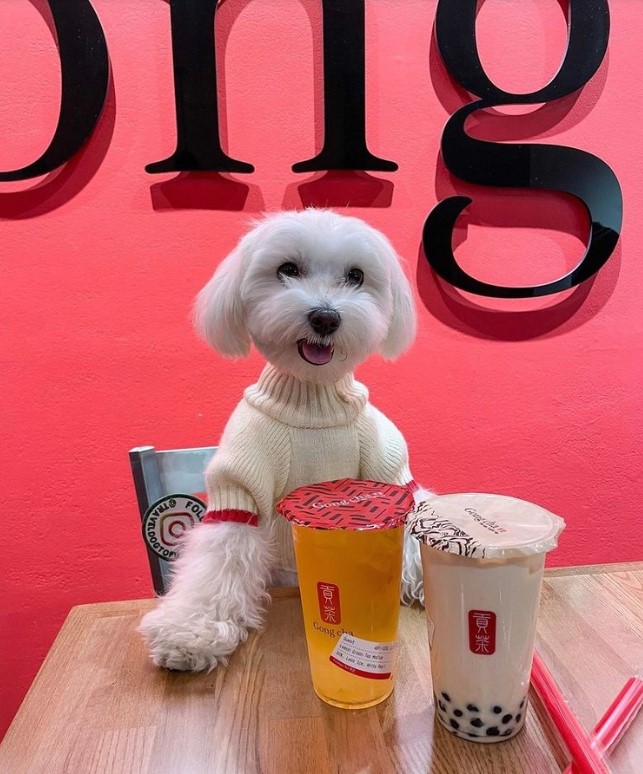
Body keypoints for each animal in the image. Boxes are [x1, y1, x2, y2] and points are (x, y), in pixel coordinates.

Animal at [140, 209, 428, 668]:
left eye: (356, 276)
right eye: (287, 269)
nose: (326, 317)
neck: (311, 403)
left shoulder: (389, 470)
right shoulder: (239, 485)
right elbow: (221, 555)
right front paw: (189, 633)